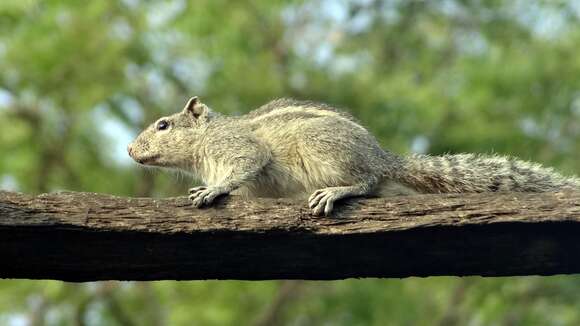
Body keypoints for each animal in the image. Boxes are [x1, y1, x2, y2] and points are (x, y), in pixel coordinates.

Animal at [128, 95, 580, 215]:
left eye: (163, 125)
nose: (130, 149)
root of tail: (383, 158)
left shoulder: (238, 147)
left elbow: (244, 165)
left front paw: (212, 190)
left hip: (325, 151)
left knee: (365, 182)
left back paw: (338, 191)